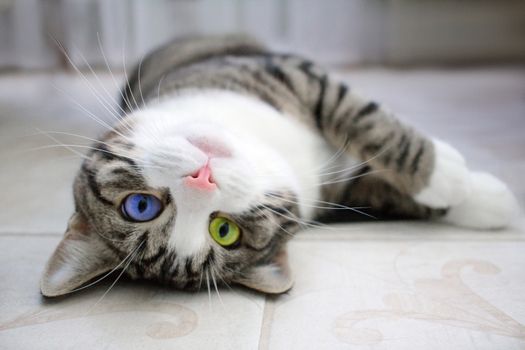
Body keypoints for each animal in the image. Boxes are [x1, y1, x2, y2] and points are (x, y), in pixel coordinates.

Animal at [39, 35, 516, 298]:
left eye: (222, 230)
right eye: (142, 207)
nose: (201, 179)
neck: (269, 147)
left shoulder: (290, 74)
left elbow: (360, 117)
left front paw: (468, 188)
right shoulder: (340, 196)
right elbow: (383, 188)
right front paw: (460, 185)